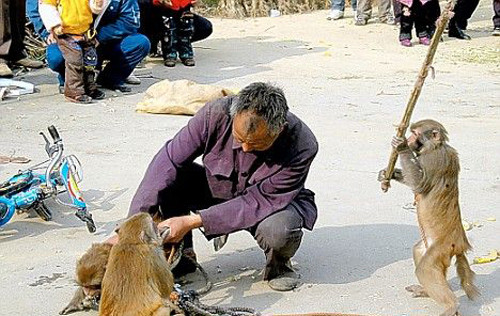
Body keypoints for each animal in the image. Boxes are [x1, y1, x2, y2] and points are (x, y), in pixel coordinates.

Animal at [378, 119, 480, 314]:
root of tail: (460, 244)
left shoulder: (432, 159)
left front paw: (401, 146)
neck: (434, 147)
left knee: (425, 269)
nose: (409, 140)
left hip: (443, 246)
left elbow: (419, 184)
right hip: (435, 246)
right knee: (419, 252)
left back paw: (451, 305)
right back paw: (427, 291)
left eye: (415, 134)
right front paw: (388, 174)